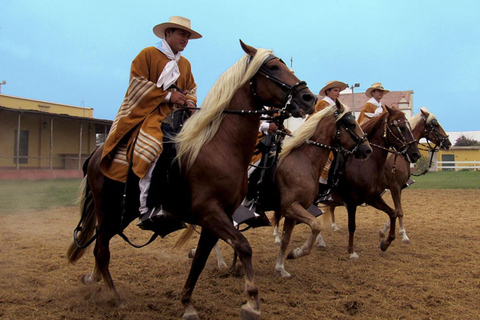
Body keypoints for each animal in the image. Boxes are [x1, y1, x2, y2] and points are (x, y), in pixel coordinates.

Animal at [66, 40, 316, 320]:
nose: (309, 98)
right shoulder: (210, 212)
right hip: (109, 214)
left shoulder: (218, 218)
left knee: (100, 249)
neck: (220, 146)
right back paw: (115, 297)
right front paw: (252, 301)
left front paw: (187, 303)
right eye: (273, 67)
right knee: (101, 251)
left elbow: (200, 261)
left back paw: (97, 282)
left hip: (121, 215)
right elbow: (243, 246)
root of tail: (97, 154)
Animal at [272, 100, 374, 278]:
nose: (367, 149)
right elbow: (316, 225)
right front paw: (297, 252)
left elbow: (286, 240)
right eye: (351, 124)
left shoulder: (292, 211)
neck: (303, 161)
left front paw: (281, 268)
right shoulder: (291, 207)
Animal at [318, 106, 420, 258]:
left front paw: (385, 243)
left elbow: (393, 213)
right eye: (401, 127)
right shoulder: (352, 200)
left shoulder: (372, 197)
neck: (365, 164)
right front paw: (352, 251)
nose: (416, 154)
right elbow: (352, 225)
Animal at [376, 107, 452, 242]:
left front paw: (383, 230)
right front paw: (403, 234)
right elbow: (399, 211)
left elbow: (397, 210)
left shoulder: (399, 188)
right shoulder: (394, 187)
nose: (448, 143)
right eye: (435, 125)